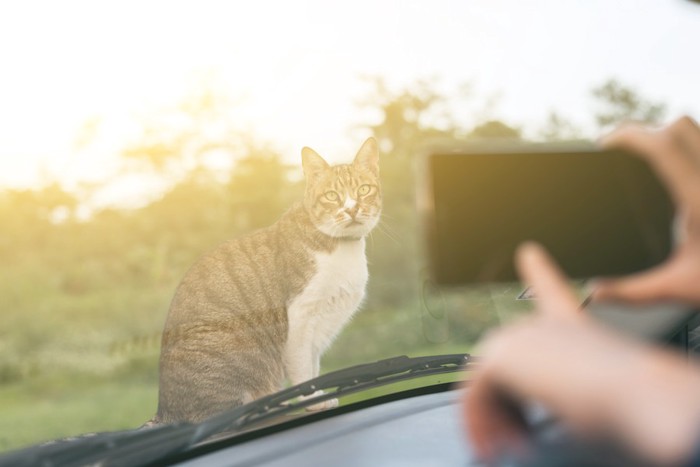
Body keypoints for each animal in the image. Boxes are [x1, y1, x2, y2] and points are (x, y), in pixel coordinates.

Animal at [152, 136, 382, 424]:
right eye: (331, 195)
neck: (342, 247)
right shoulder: (300, 318)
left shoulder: (319, 329)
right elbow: (303, 370)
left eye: (364, 190)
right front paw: (314, 401)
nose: (352, 209)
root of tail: (164, 412)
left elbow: (313, 367)